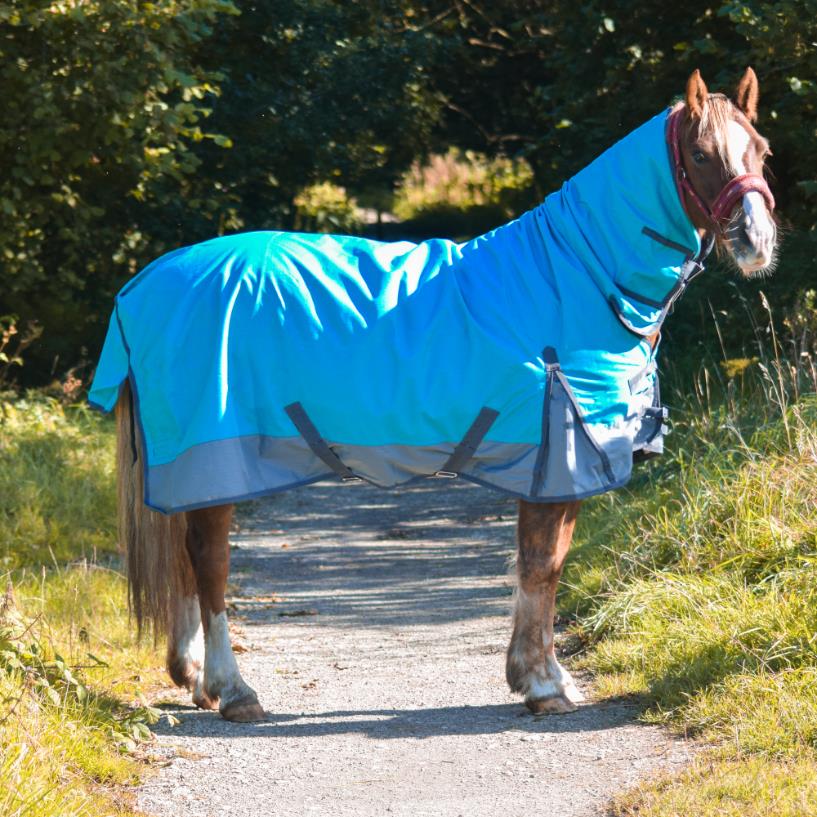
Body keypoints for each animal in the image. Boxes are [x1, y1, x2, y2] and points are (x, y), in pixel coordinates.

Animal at [90, 68, 777, 722]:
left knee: (183, 561)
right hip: (214, 457)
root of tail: (147, 281)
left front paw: (539, 676)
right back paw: (234, 691)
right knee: (208, 563)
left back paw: (195, 679)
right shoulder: (557, 462)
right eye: (701, 153)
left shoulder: (558, 467)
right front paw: (542, 685)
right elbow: (541, 566)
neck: (579, 275)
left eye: (761, 151)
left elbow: (545, 564)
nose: (757, 240)